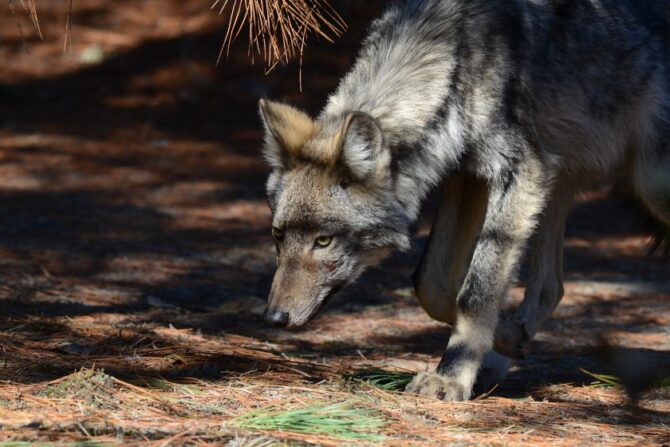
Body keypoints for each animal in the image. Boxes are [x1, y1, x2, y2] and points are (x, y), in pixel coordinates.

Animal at [258, 0, 670, 402]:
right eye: (278, 236)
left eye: (323, 240)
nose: (274, 318)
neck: (451, 58)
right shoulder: (468, 176)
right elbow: (434, 286)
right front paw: (505, 338)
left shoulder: (519, 173)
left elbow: (476, 292)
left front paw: (451, 378)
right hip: (558, 182)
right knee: (551, 287)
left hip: (646, 184)